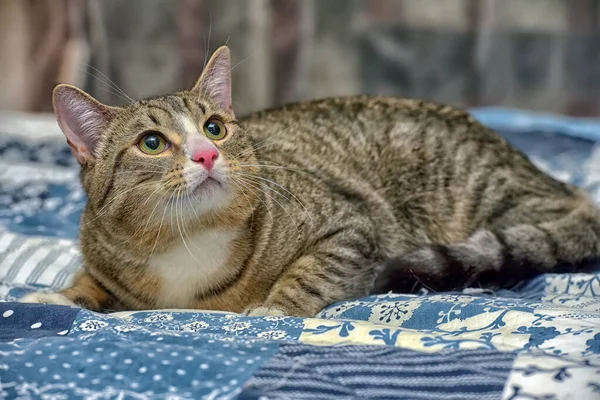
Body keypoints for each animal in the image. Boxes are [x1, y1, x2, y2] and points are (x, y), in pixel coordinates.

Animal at [18, 47, 600, 318]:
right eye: (153, 143)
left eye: (215, 127)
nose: (207, 153)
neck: (186, 241)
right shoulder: (105, 254)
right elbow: (93, 283)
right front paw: (61, 296)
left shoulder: (350, 225)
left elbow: (313, 271)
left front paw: (274, 307)